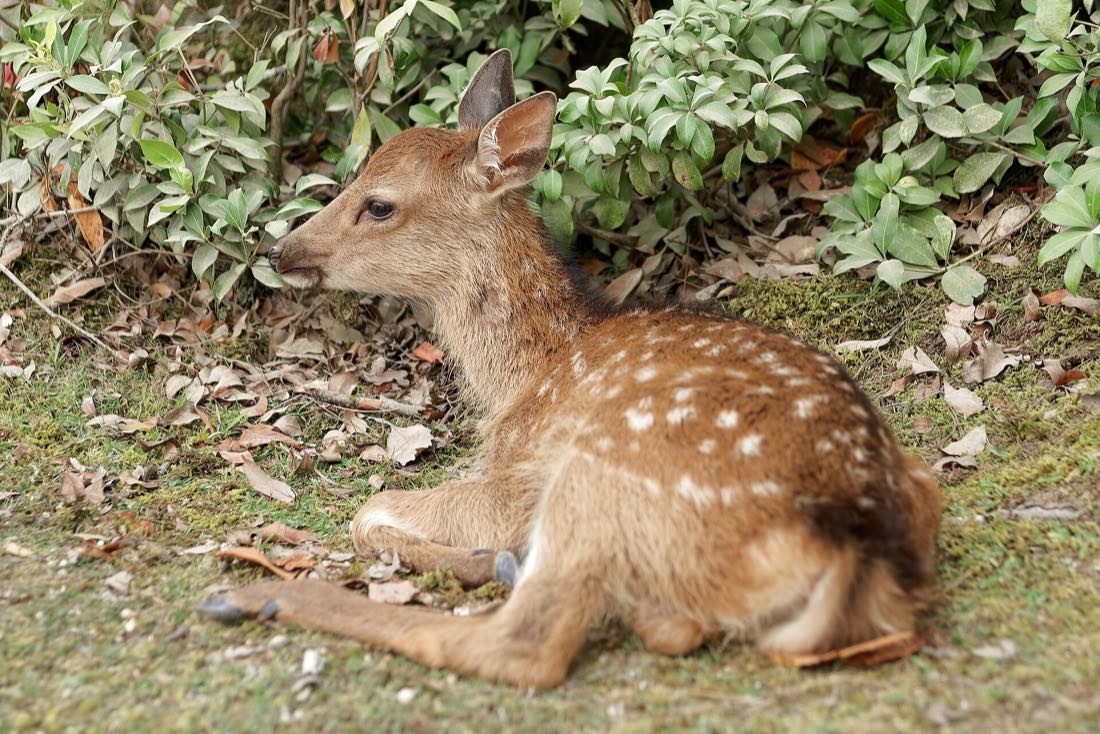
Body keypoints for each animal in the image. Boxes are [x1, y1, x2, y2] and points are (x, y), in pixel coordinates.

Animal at [198, 49, 942, 689]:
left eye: (378, 203)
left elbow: (368, 508)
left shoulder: (520, 478)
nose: (280, 248)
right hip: (920, 484)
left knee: (523, 645)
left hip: (600, 478)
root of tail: (855, 543)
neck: (528, 371)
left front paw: (477, 558)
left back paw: (253, 595)